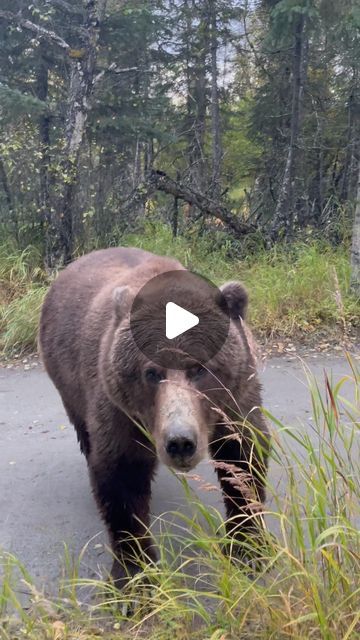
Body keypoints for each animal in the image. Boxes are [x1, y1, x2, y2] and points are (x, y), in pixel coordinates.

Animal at [39, 248, 270, 588]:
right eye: (151, 372)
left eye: (199, 368)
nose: (180, 442)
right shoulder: (119, 409)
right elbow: (121, 476)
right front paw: (135, 576)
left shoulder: (235, 401)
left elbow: (242, 458)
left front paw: (246, 547)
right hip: (65, 375)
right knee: (82, 426)